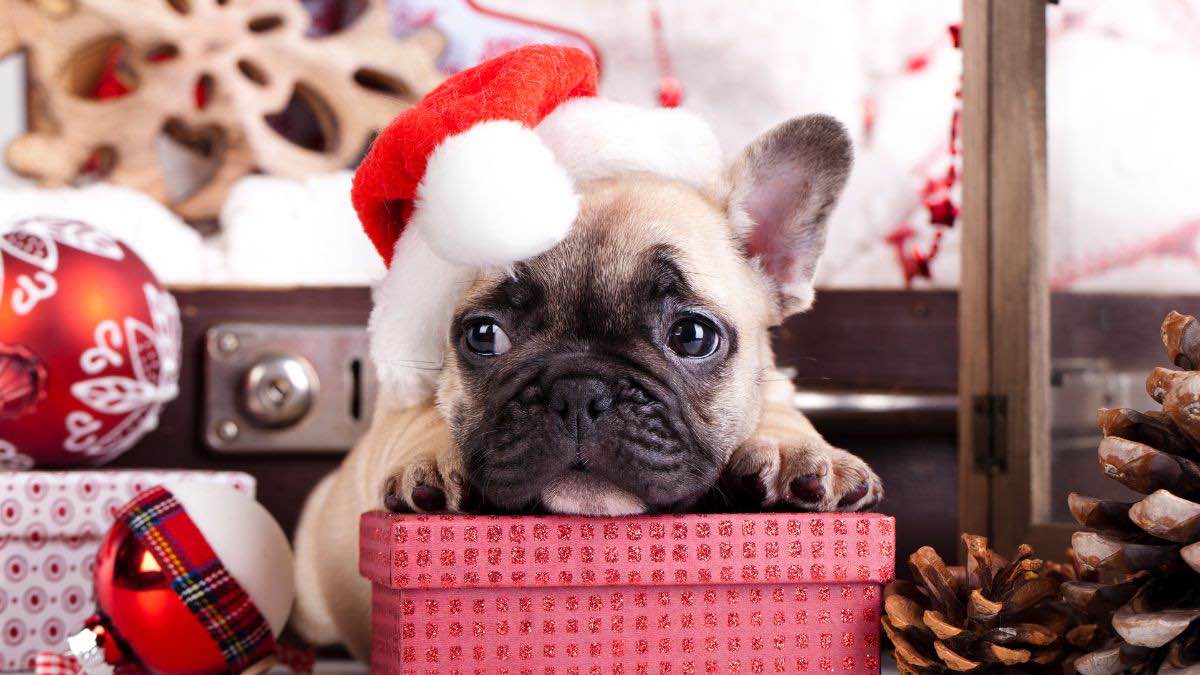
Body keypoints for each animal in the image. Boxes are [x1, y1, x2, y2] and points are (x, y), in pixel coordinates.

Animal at [292, 112, 883, 653]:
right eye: (483, 335)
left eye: (692, 336)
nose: (579, 390)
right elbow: (422, 414)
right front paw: (435, 460)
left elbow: (780, 407)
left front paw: (795, 452)